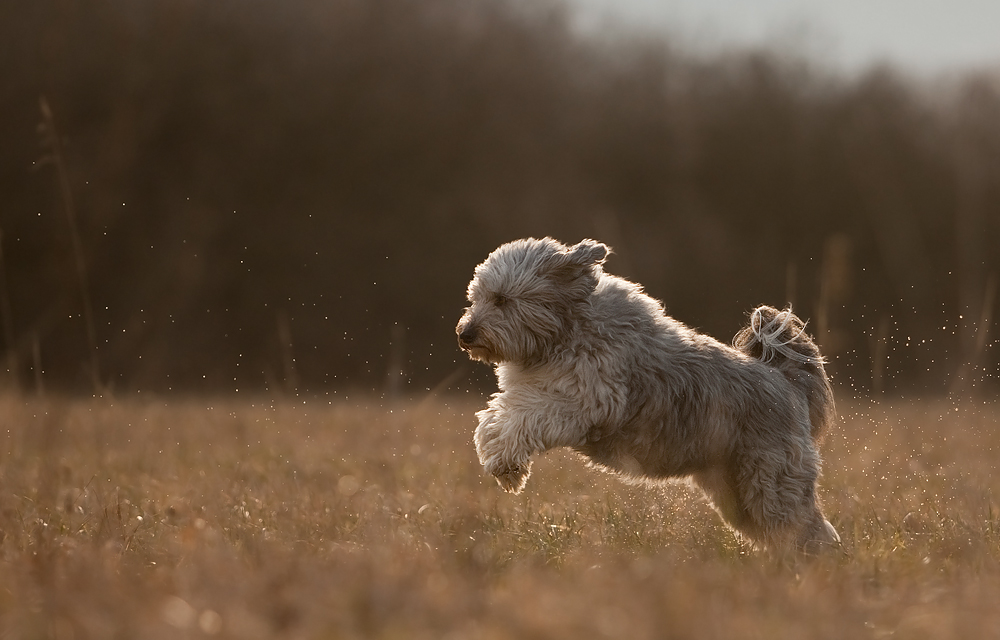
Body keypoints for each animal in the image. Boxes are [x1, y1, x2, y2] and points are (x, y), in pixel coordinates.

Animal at [458, 238, 840, 552]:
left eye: (502, 299)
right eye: (475, 298)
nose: (465, 334)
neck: (563, 330)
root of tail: (787, 382)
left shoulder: (586, 400)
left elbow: (518, 420)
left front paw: (505, 465)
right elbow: (497, 417)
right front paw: (502, 460)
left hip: (772, 483)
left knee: (811, 533)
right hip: (736, 491)